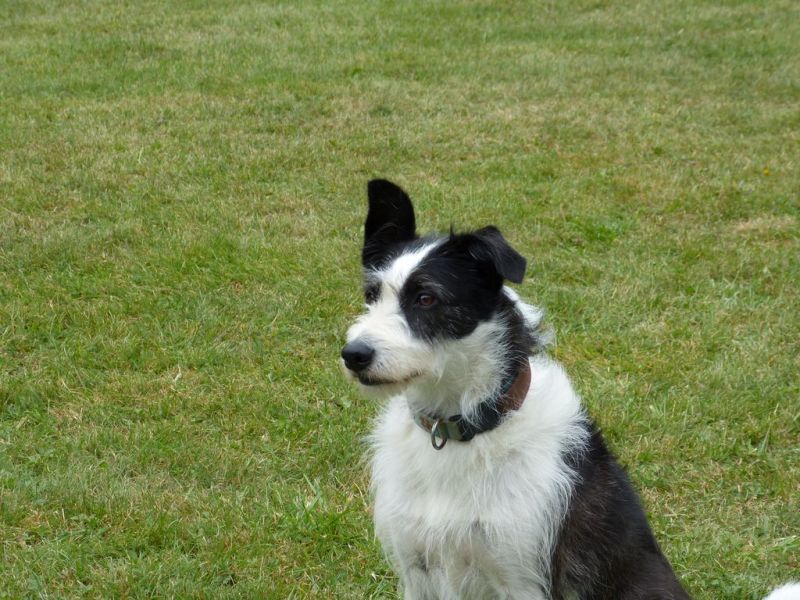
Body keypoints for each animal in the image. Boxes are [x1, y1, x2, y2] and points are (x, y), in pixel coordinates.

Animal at [341, 179, 799, 600]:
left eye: (426, 298)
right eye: (371, 295)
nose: (353, 354)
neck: (462, 429)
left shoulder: (522, 579)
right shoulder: (417, 570)